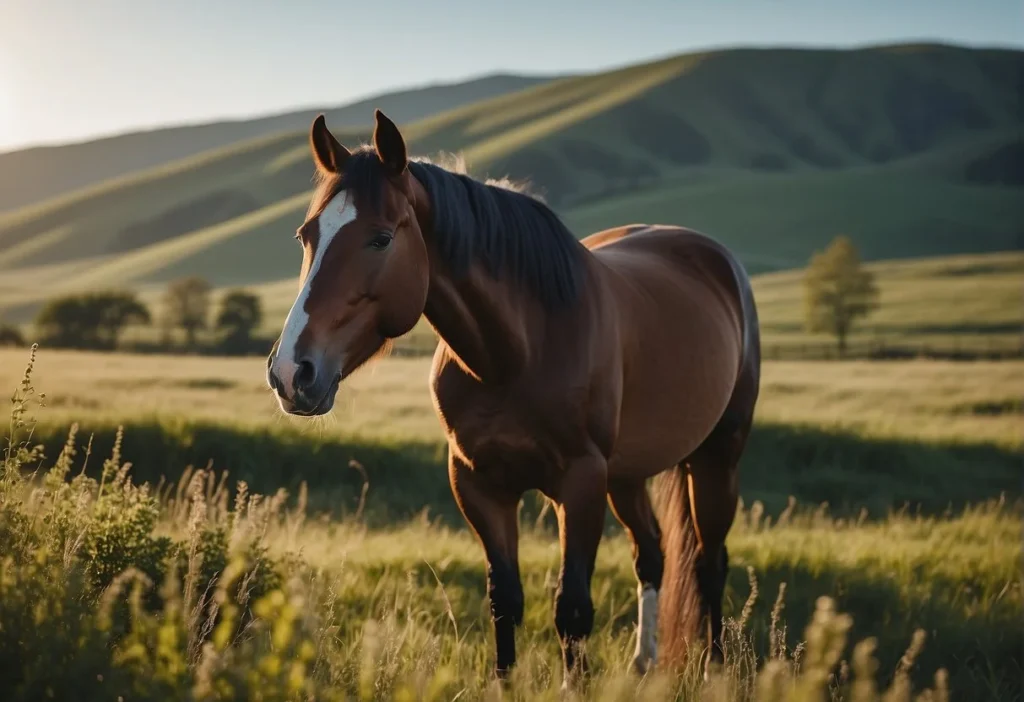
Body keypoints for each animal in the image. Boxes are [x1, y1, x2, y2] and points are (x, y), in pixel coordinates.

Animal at [264, 110, 761, 687]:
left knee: (709, 561)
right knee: (652, 553)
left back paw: (715, 668)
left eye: (381, 239)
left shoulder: (580, 483)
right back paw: (643, 661)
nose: (291, 372)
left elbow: (572, 609)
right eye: (307, 235)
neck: (518, 352)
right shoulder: (479, 484)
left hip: (716, 458)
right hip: (628, 474)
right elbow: (504, 600)